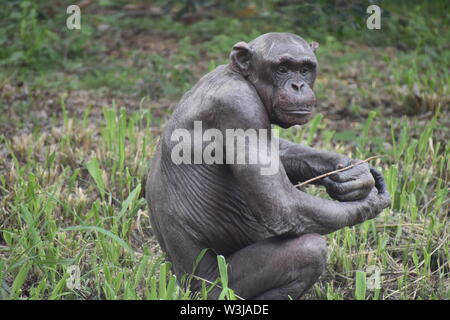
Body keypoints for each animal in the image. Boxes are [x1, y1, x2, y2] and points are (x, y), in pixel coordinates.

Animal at [145, 32, 390, 300]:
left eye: (304, 69)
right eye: (282, 69)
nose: (298, 85)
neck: (239, 76)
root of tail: (179, 282)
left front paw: (355, 173)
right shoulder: (241, 109)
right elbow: (281, 204)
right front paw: (371, 202)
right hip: (215, 287)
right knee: (307, 250)